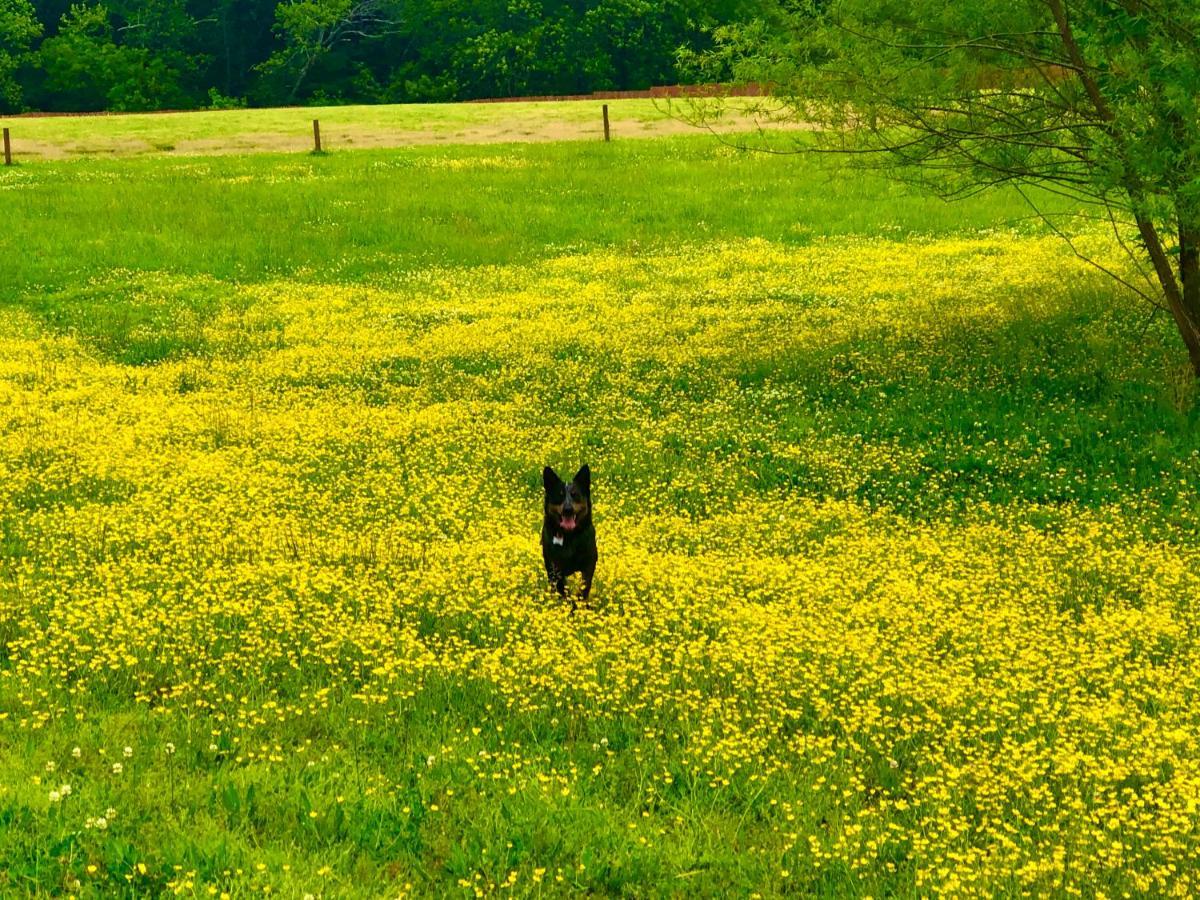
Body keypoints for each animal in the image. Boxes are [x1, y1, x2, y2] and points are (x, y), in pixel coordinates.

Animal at [542, 465, 597, 614]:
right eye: (559, 495)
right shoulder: (555, 567)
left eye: (575, 494)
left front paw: (580, 605)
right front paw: (568, 606)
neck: (569, 536)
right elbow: (562, 589)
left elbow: (584, 586)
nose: (568, 509)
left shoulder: (589, 563)